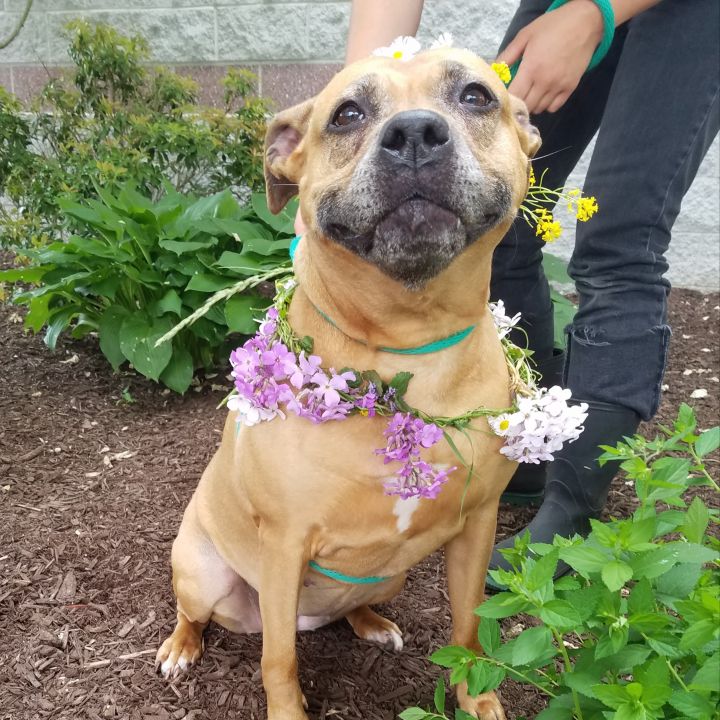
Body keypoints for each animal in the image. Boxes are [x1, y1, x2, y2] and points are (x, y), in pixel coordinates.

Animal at [156, 46, 540, 720]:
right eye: (347, 114)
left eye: (475, 96)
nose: (415, 133)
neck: (410, 345)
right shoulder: (284, 544)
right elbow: (278, 662)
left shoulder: (478, 525)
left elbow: (468, 626)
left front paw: (477, 698)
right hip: (204, 572)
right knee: (202, 614)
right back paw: (181, 645)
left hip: (391, 573)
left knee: (355, 603)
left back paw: (372, 623)